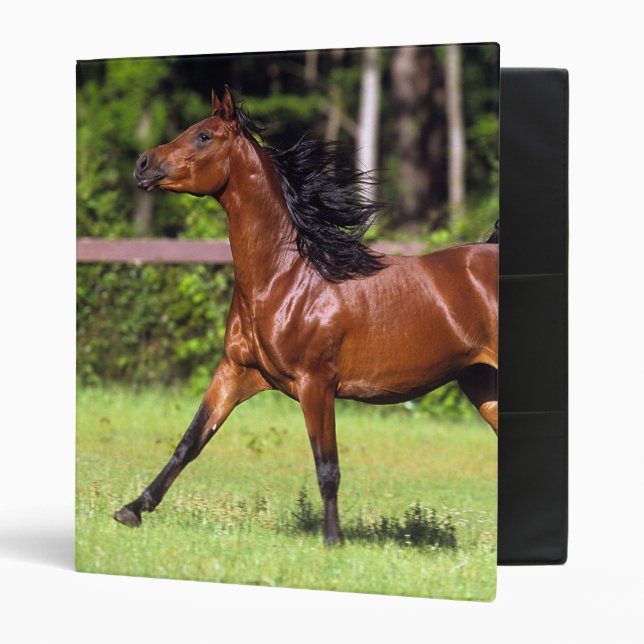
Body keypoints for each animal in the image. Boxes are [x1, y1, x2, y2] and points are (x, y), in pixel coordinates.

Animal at [114, 86, 498, 545]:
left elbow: (327, 467)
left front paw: (332, 542)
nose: (143, 163)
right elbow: (190, 442)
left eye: (204, 136)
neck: (287, 277)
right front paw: (132, 509)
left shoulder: (316, 384)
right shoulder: (236, 371)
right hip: (483, 387)